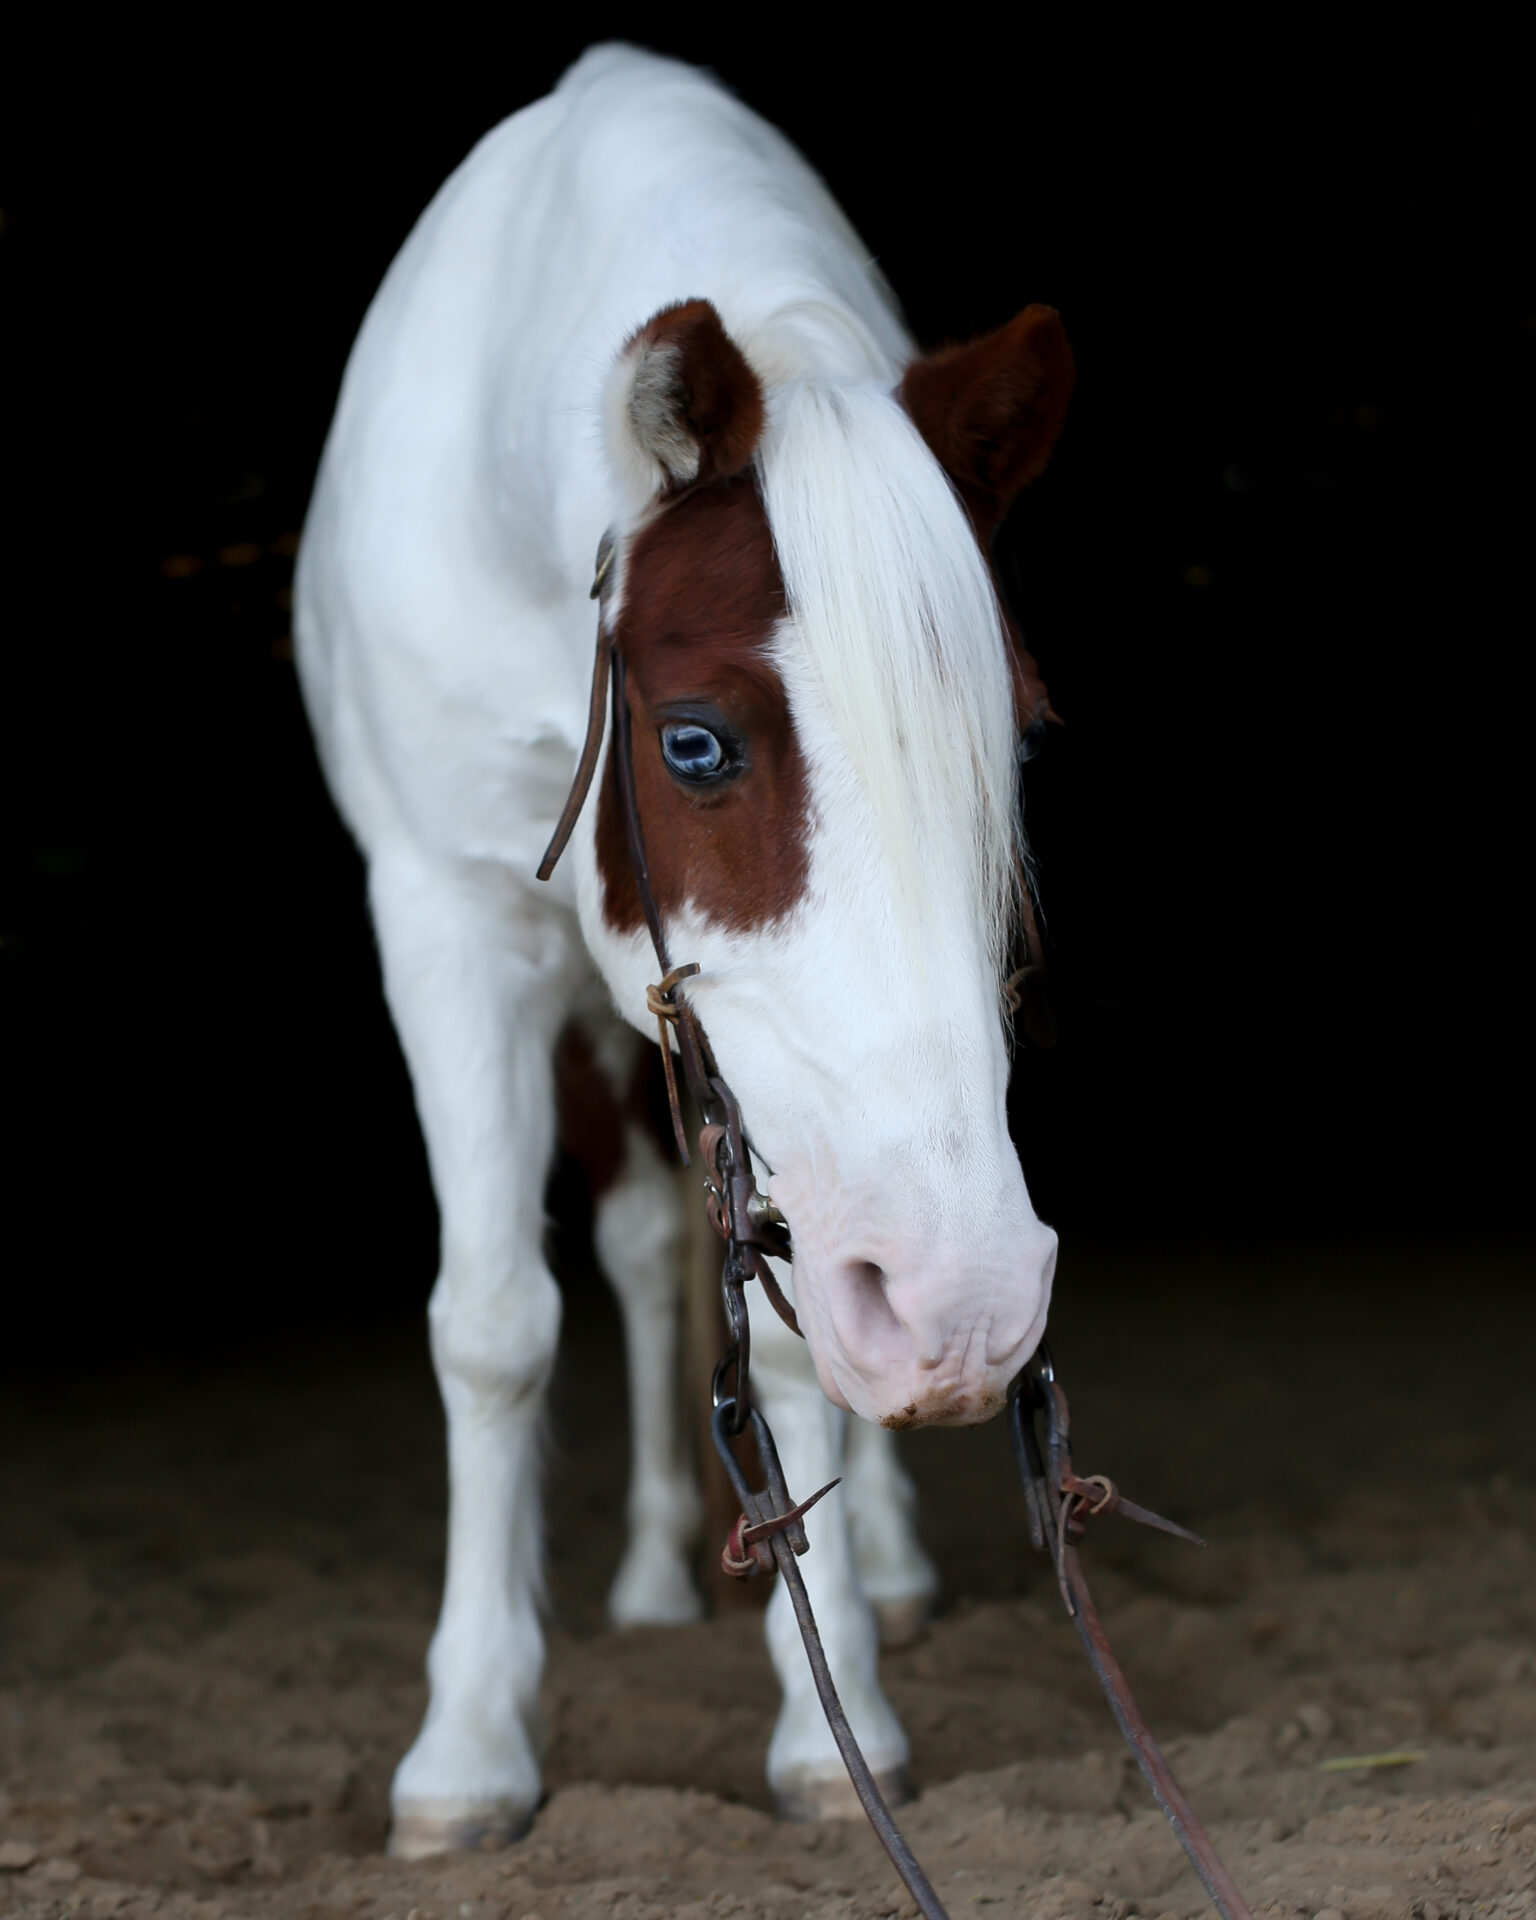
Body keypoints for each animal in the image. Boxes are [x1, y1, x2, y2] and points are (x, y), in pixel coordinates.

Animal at [294, 42, 1073, 1857]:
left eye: (1014, 733)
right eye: (698, 744)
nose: (972, 1304)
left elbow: (791, 1339)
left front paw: (837, 1719)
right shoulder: (448, 925)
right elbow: (495, 1326)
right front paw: (467, 1752)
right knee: (647, 1256)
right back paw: (655, 1572)